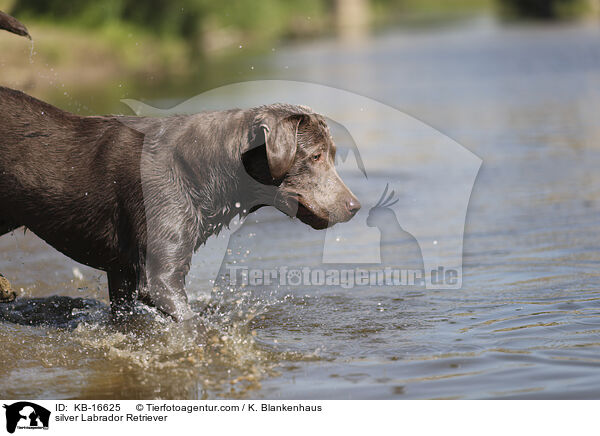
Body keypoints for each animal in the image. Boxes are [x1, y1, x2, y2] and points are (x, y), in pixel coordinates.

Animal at [0, 16, 360, 320]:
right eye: (316, 156)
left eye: (333, 154)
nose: (355, 206)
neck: (207, 168)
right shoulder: (159, 277)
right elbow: (190, 323)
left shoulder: (122, 273)